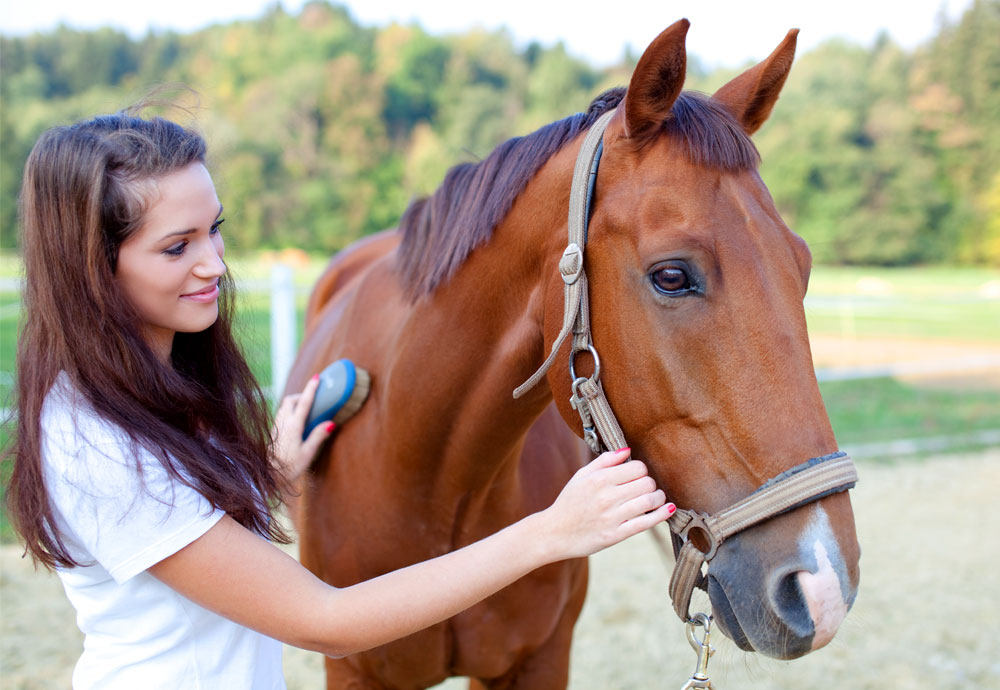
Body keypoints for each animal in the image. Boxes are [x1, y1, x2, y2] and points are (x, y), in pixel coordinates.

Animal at [285, 19, 861, 689]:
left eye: (804, 265)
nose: (822, 587)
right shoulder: (352, 670)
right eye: (671, 276)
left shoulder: (540, 656)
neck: (430, 478)